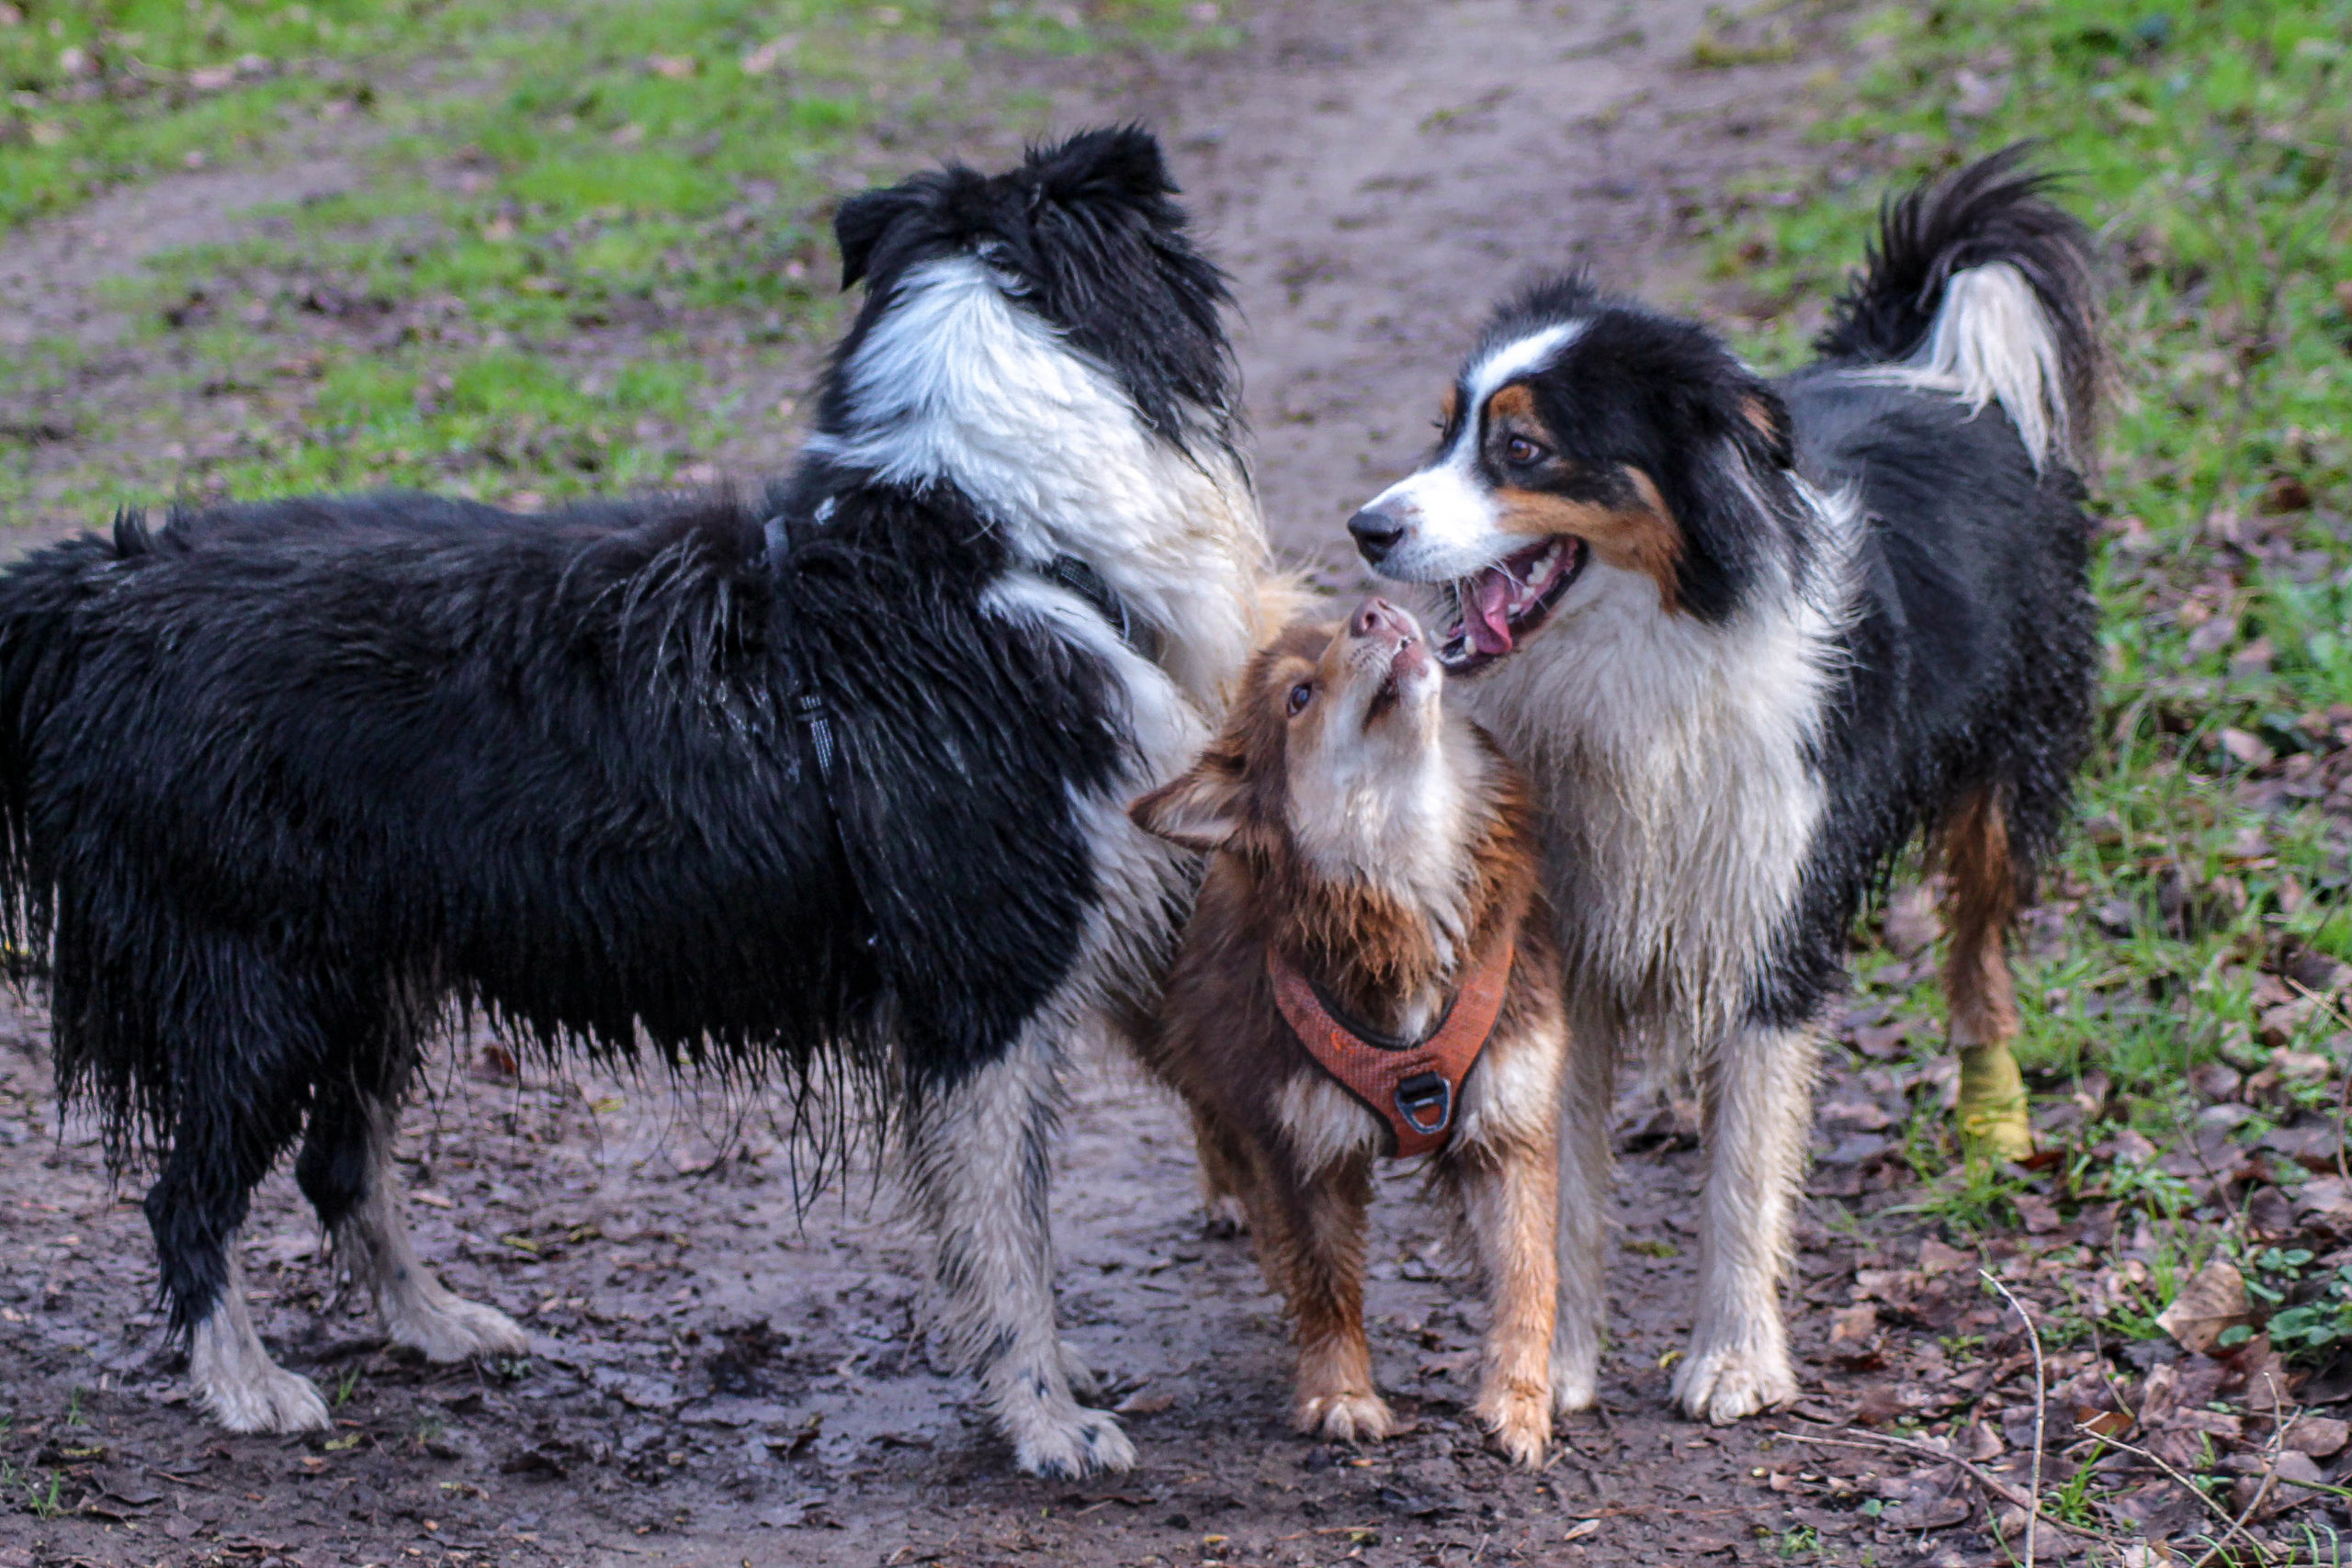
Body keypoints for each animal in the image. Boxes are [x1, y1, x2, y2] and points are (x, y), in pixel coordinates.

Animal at [0, 129, 1279, 1476]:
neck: (990, 539)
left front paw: (1037, 1374)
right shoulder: (984, 974)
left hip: (373, 966)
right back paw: (245, 1383)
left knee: (339, 1163)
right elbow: (1008, 1226)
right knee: (186, 1193)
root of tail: (99, 584)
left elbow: (1008, 1213)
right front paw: (1041, 1417)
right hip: (255, 978)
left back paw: (435, 1322)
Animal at [1128, 594, 1571, 1466]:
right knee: (1220, 1135)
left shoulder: (1508, 1125)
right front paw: (1340, 1394)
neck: (1404, 869)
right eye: (1298, 697)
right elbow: (1326, 1282)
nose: (1374, 609)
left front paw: (1519, 1399)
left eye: (1340, 621)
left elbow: (1529, 1272)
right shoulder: (1301, 1145)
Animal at [1354, 156, 2107, 1419]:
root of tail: (1928, 365)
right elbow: (1568, 1181)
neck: (1647, 660)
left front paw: (1737, 1361)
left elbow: (1744, 1170)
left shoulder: (1774, 917)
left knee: (1979, 943)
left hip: (2007, 764)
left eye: (1522, 449)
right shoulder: (1567, 928)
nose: (1366, 528)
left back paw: (1994, 1119)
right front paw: (1559, 1365)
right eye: (1444, 431)